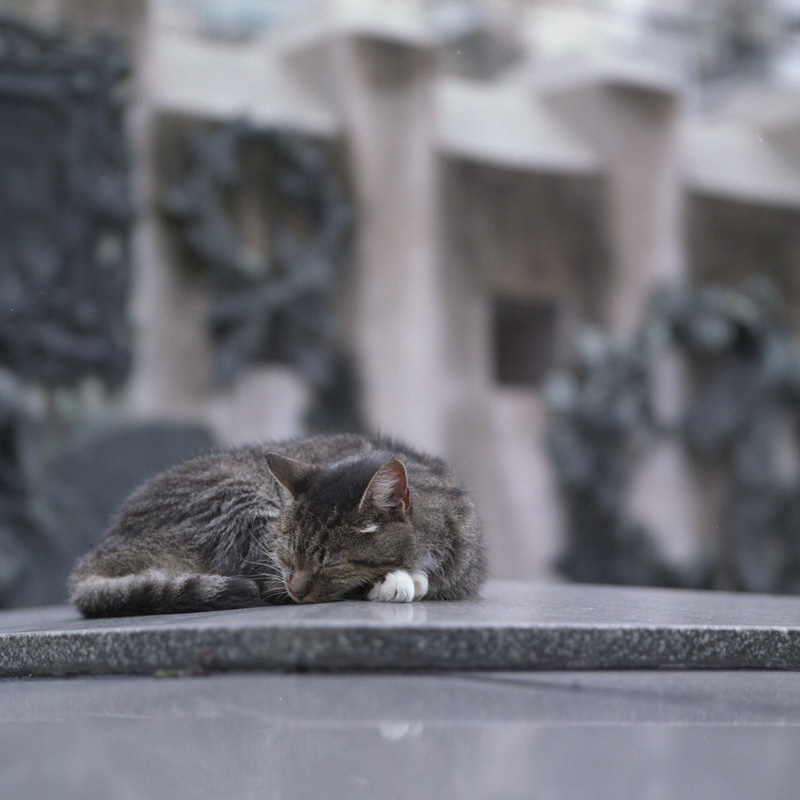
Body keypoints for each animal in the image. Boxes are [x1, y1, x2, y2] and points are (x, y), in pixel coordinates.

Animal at [69, 434, 484, 616]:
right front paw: (397, 581)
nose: (297, 589)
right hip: (235, 500)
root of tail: (96, 552)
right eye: (284, 553)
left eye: (331, 562)